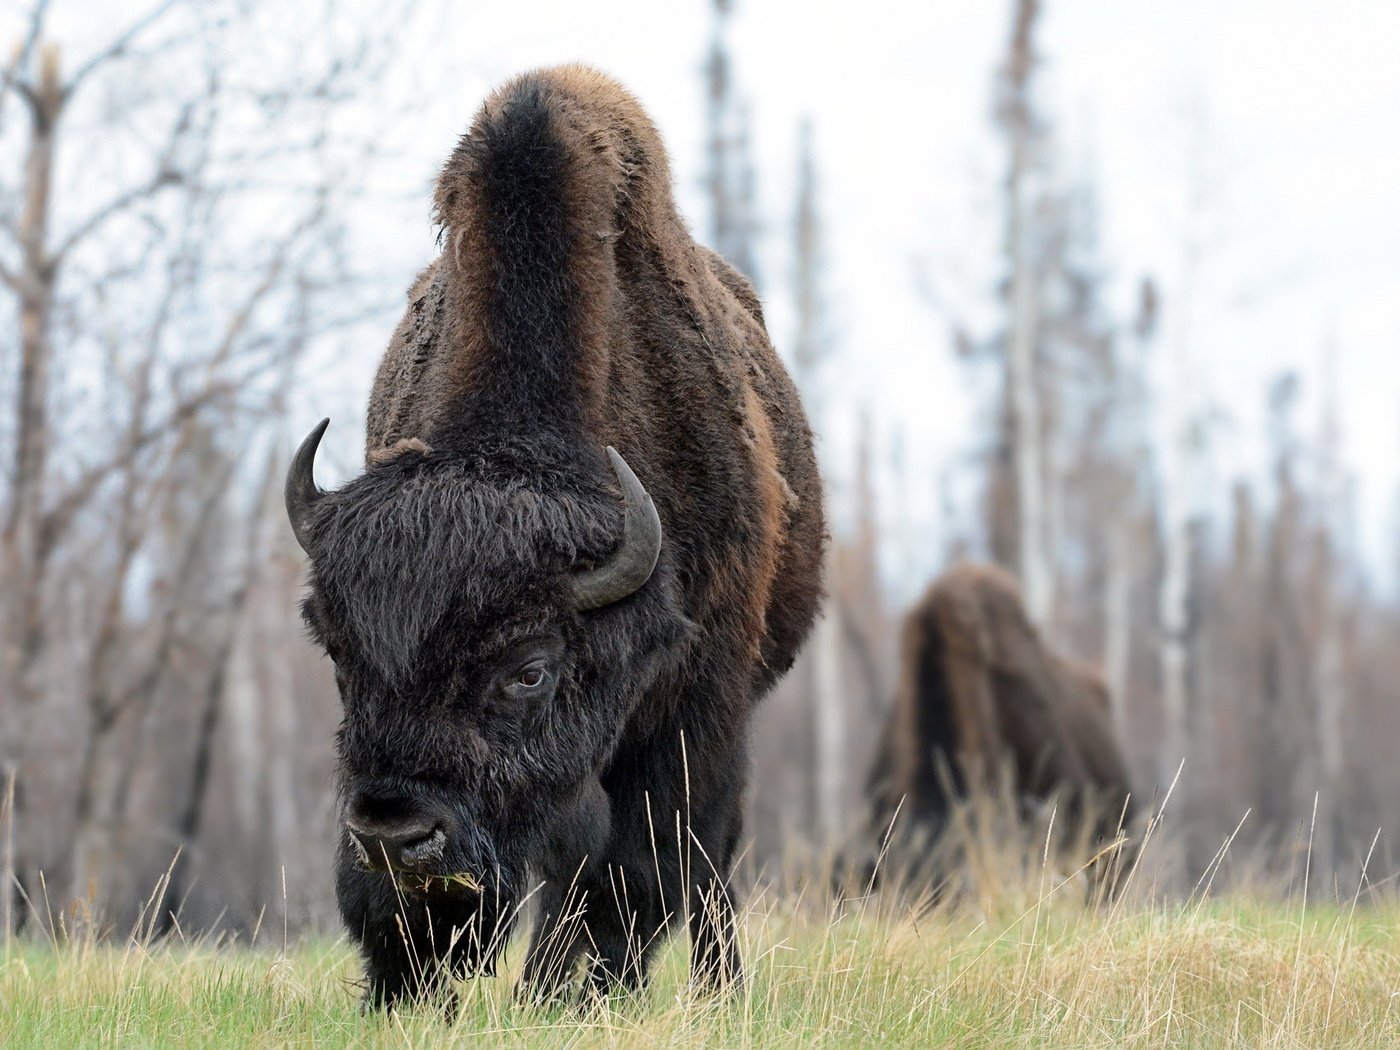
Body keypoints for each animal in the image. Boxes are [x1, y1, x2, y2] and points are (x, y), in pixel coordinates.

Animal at [289, 67, 823, 1013]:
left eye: (529, 671)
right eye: (341, 657)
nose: (397, 832)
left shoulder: (693, 707)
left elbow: (643, 863)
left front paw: (583, 996)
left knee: (702, 866)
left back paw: (709, 992)